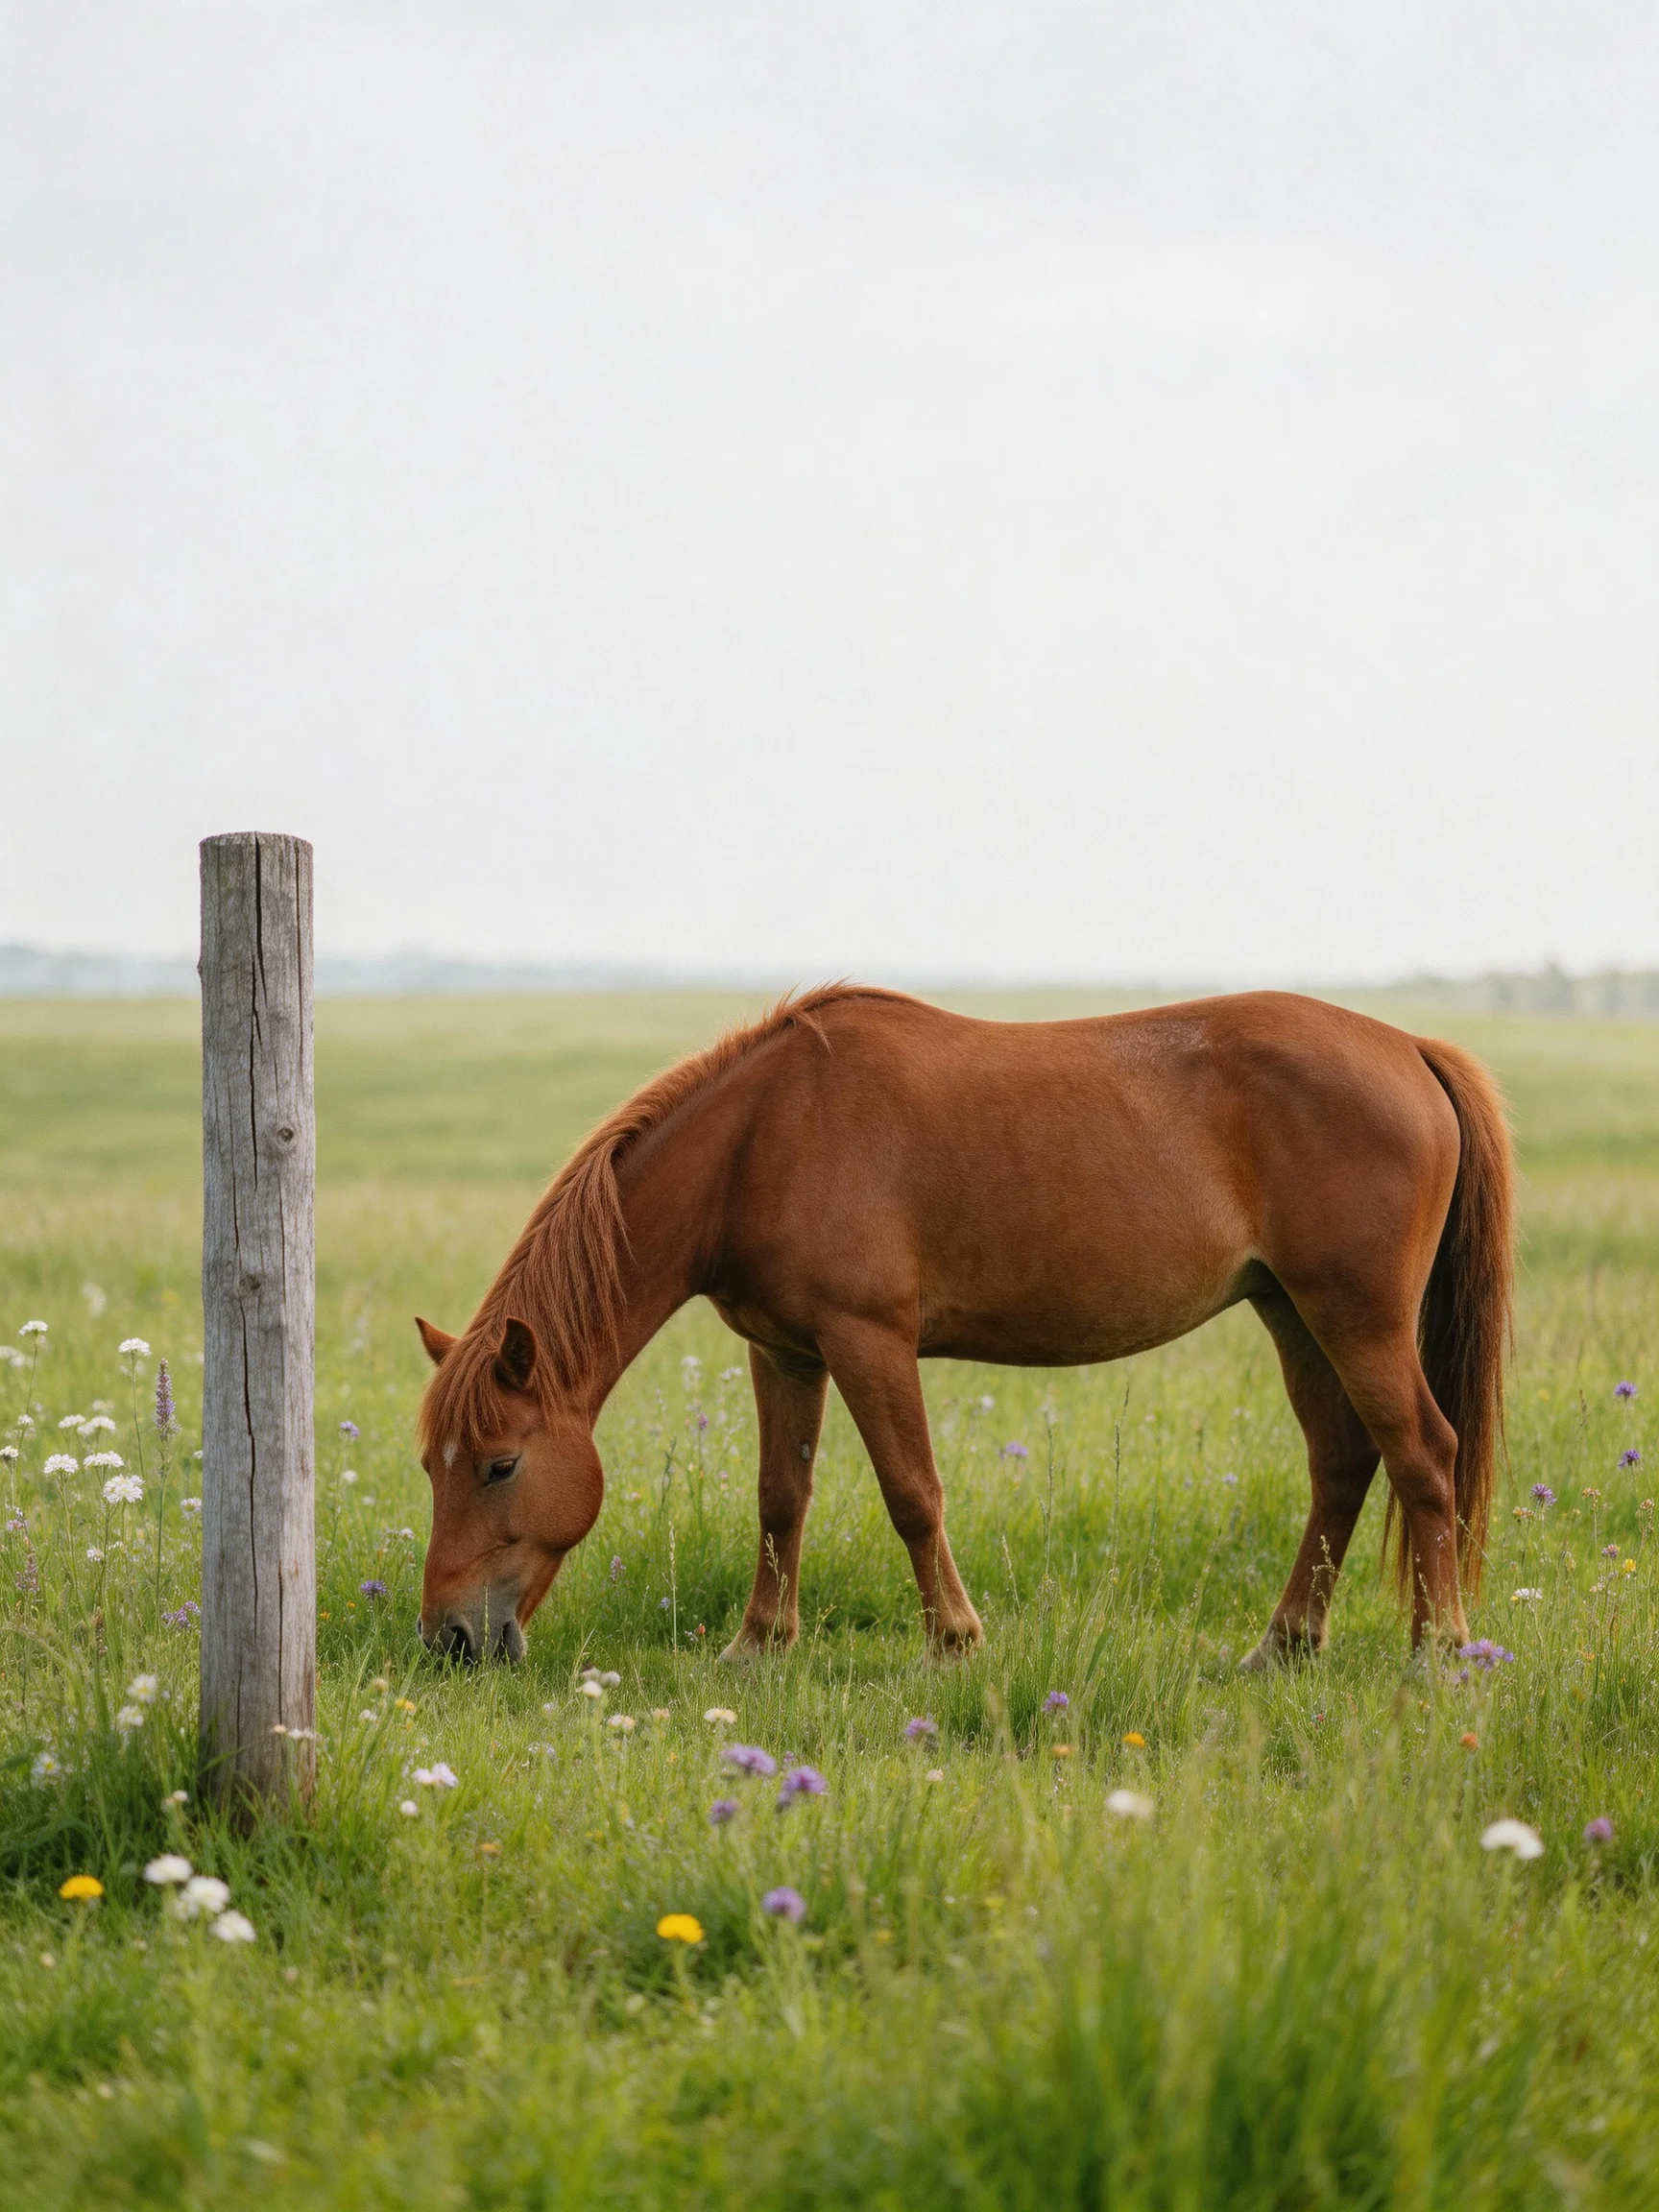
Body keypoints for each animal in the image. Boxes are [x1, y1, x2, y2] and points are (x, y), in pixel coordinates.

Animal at [414, 986, 1512, 1669]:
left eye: (502, 1465)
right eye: (433, 1464)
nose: (449, 1640)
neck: (761, 1141)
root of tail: (1410, 1050)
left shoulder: (868, 1341)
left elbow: (912, 1494)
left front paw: (953, 1641)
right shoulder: (784, 1353)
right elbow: (780, 1499)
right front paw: (758, 1644)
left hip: (1356, 1317)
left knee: (1425, 1454)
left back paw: (1437, 1653)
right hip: (1293, 1313)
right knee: (1343, 1462)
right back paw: (1283, 1645)